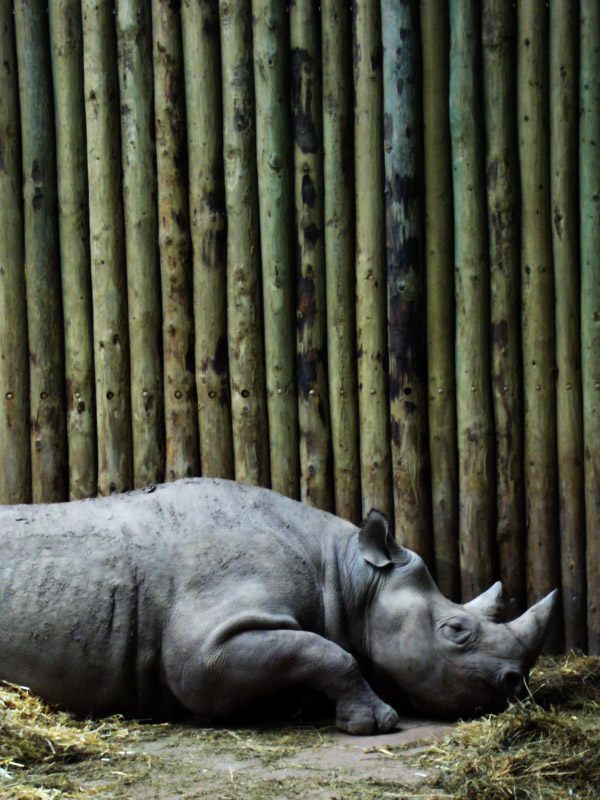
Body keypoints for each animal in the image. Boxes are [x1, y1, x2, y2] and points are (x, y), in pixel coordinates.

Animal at [0, 478, 556, 734]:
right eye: (456, 631)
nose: (516, 685)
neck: (350, 577)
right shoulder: (206, 646)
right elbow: (328, 652)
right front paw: (377, 722)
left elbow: (313, 650)